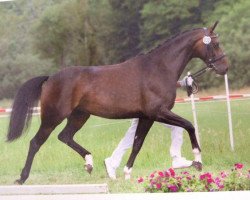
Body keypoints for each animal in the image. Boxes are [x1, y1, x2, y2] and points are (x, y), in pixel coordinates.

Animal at [6, 22, 229, 184]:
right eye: (215, 43)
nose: (224, 67)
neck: (158, 68)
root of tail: (50, 78)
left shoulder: (147, 116)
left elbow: (137, 143)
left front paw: (127, 172)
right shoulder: (157, 112)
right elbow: (189, 126)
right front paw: (197, 160)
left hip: (79, 116)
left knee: (65, 136)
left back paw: (89, 163)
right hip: (53, 117)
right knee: (36, 142)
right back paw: (22, 178)